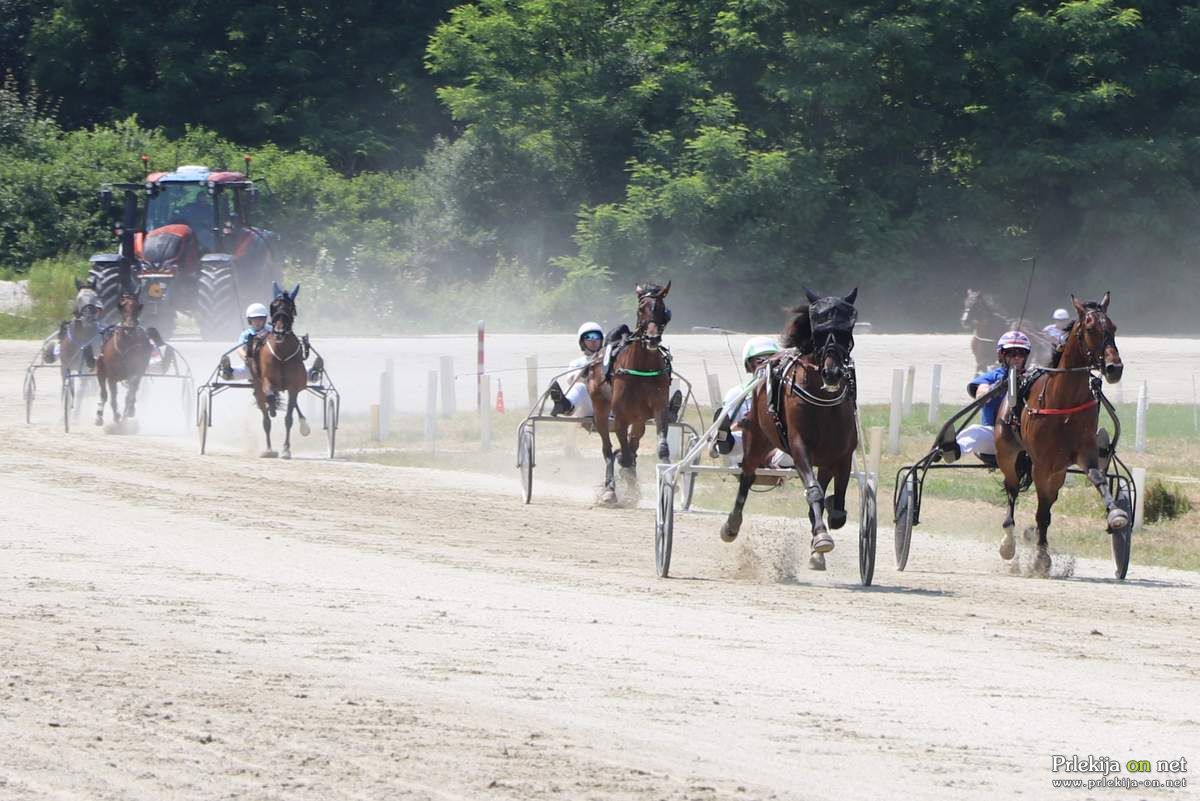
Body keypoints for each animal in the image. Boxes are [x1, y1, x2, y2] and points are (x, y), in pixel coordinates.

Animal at [93, 288, 158, 429]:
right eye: (121, 306)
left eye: (137, 307)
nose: (129, 326)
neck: (126, 345)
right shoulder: (111, 376)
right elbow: (112, 397)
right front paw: (116, 415)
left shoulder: (137, 371)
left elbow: (131, 391)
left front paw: (127, 411)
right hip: (101, 370)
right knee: (104, 394)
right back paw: (99, 416)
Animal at [250, 282, 309, 460]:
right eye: (273, 306)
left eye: (290, 307)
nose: (280, 332)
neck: (282, 352)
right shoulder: (267, 381)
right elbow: (269, 397)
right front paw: (273, 408)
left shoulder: (294, 387)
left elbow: (289, 417)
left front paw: (286, 449)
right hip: (257, 385)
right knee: (265, 418)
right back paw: (269, 448)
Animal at [585, 281, 672, 501]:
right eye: (641, 308)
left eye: (663, 310)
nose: (652, 338)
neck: (642, 368)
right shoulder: (620, 416)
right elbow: (622, 451)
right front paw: (621, 474)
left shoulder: (659, 408)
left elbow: (661, 447)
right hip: (600, 410)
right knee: (607, 448)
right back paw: (610, 486)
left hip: (639, 418)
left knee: (634, 442)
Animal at [720, 287, 864, 568]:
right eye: (818, 330)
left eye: (846, 330)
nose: (832, 373)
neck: (823, 402)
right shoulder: (799, 448)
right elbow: (814, 492)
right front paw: (822, 537)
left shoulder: (842, 455)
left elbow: (838, 506)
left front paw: (826, 522)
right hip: (758, 438)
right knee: (747, 475)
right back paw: (732, 525)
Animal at [993, 291, 1123, 573]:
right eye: (1090, 328)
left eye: (1113, 327)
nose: (1114, 368)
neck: (1064, 402)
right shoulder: (1042, 463)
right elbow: (1041, 512)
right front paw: (1040, 558)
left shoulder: (1084, 453)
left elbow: (1098, 477)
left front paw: (1116, 514)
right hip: (1009, 453)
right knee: (1011, 489)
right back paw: (1009, 542)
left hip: (1058, 472)